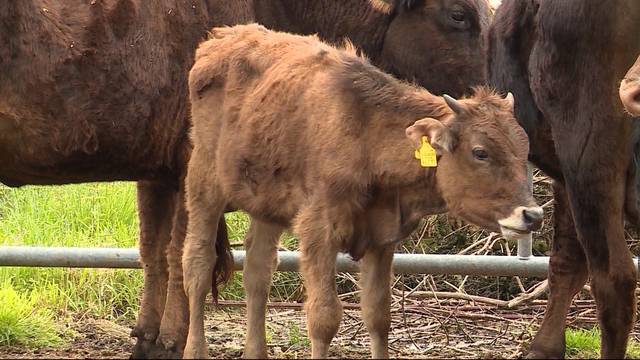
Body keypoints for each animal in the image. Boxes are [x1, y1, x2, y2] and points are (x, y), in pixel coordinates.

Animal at [0, 0, 490, 358]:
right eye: (458, 14)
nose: (488, 86)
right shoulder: (189, 168)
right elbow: (182, 252)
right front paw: (173, 340)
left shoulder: (157, 174)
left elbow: (154, 252)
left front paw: (146, 338)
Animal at [182, 23, 544, 358]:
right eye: (480, 152)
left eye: (524, 150)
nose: (532, 215)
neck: (367, 133)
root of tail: (220, 39)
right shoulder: (319, 233)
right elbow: (324, 318)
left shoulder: (382, 239)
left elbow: (378, 316)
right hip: (204, 185)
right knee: (198, 265)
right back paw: (194, 348)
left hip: (266, 206)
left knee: (258, 272)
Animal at [488, 0, 640, 358]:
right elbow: (568, 260)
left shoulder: (568, 172)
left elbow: (566, 261)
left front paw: (542, 347)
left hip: (587, 147)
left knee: (615, 278)